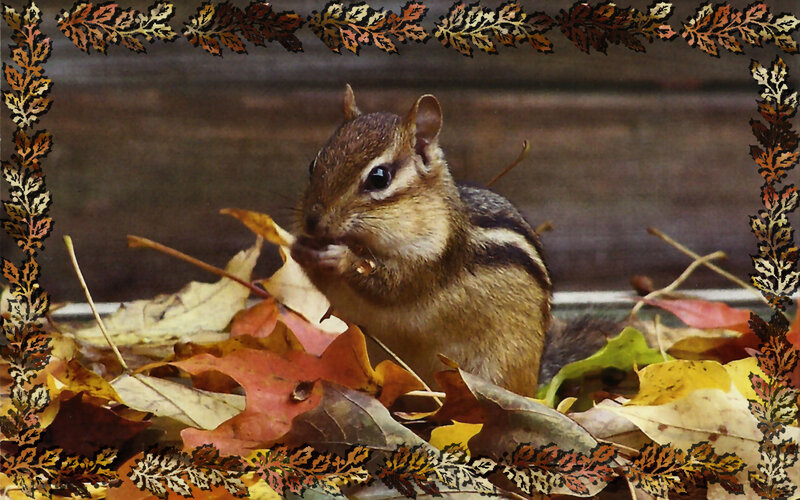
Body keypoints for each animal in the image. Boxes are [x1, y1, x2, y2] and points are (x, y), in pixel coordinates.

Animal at [291, 86, 593, 397]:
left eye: (379, 177)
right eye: (313, 164)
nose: (312, 222)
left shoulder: (433, 261)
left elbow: (390, 284)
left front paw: (339, 257)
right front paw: (299, 248)